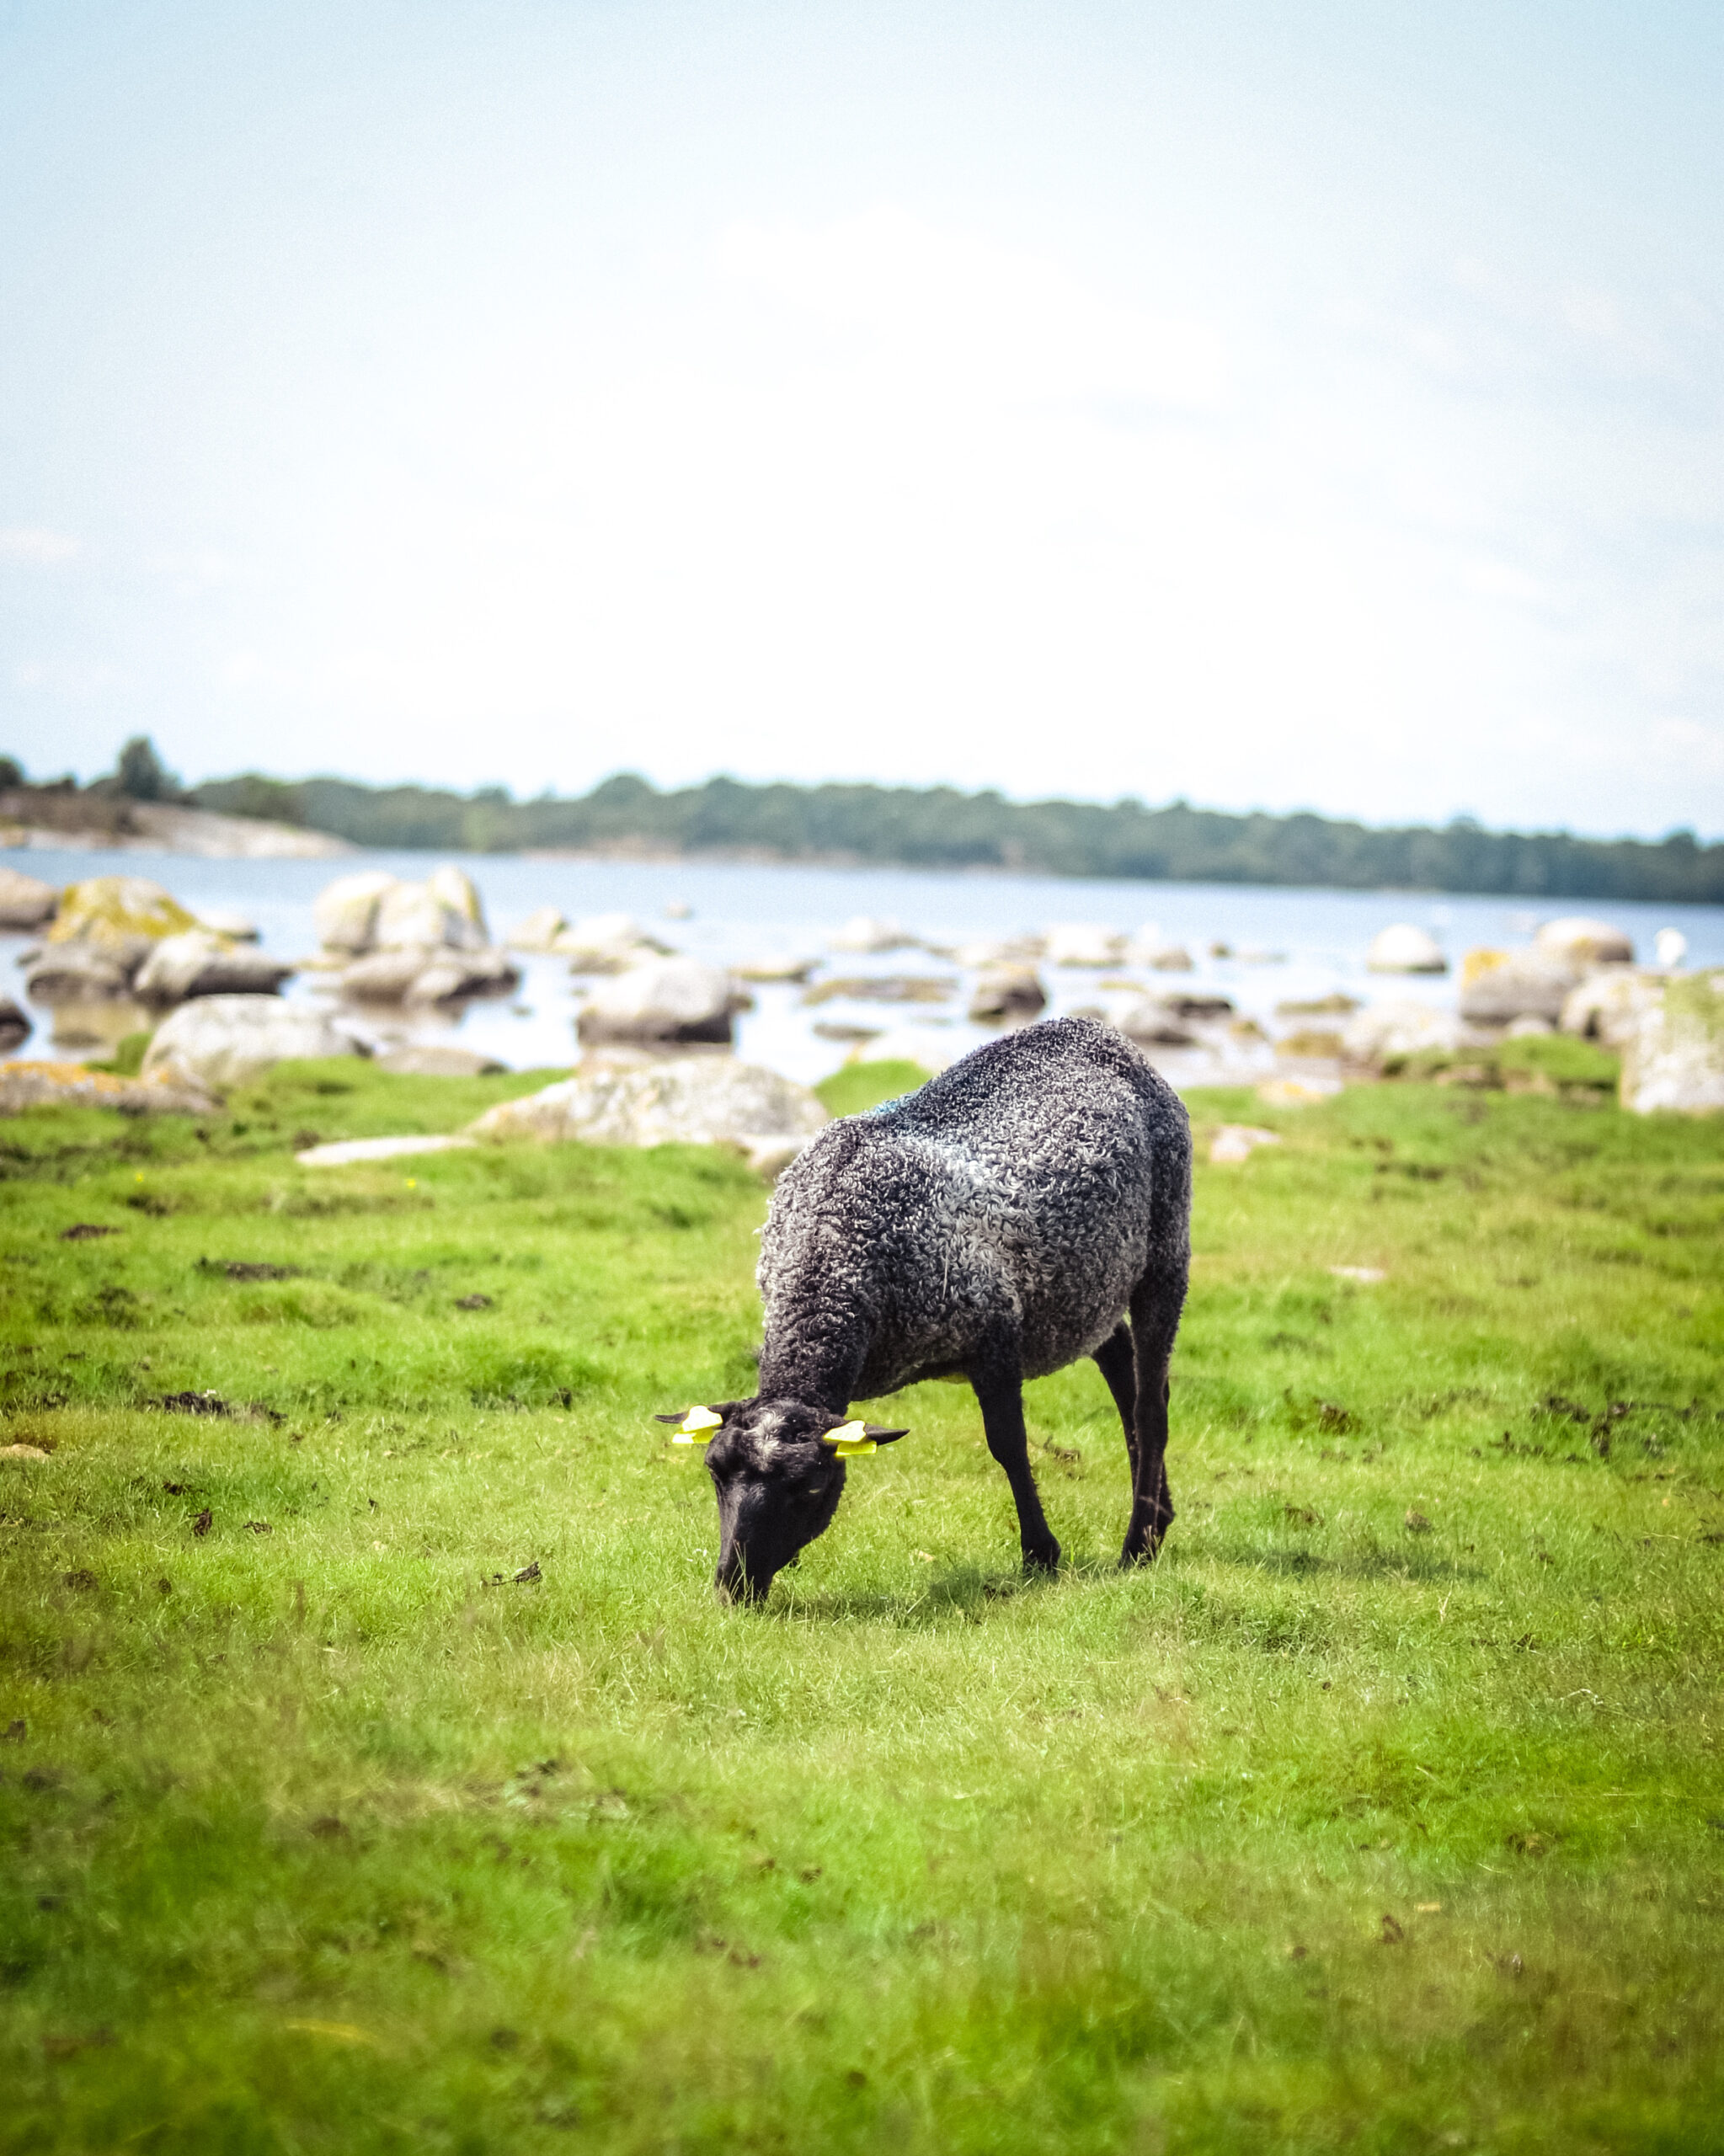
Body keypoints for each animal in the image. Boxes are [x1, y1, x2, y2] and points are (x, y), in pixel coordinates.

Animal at [657, 1015, 1193, 1604]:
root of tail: (1093, 1031)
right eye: (714, 1471)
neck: (836, 1249)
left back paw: (1138, 1545)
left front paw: (1040, 1555)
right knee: (1122, 1364)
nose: (735, 1585)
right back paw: (1158, 1518)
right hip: (1085, 1288)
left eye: (811, 1487)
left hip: (1166, 1246)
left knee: (1150, 1402)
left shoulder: (994, 1332)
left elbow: (1007, 1444)